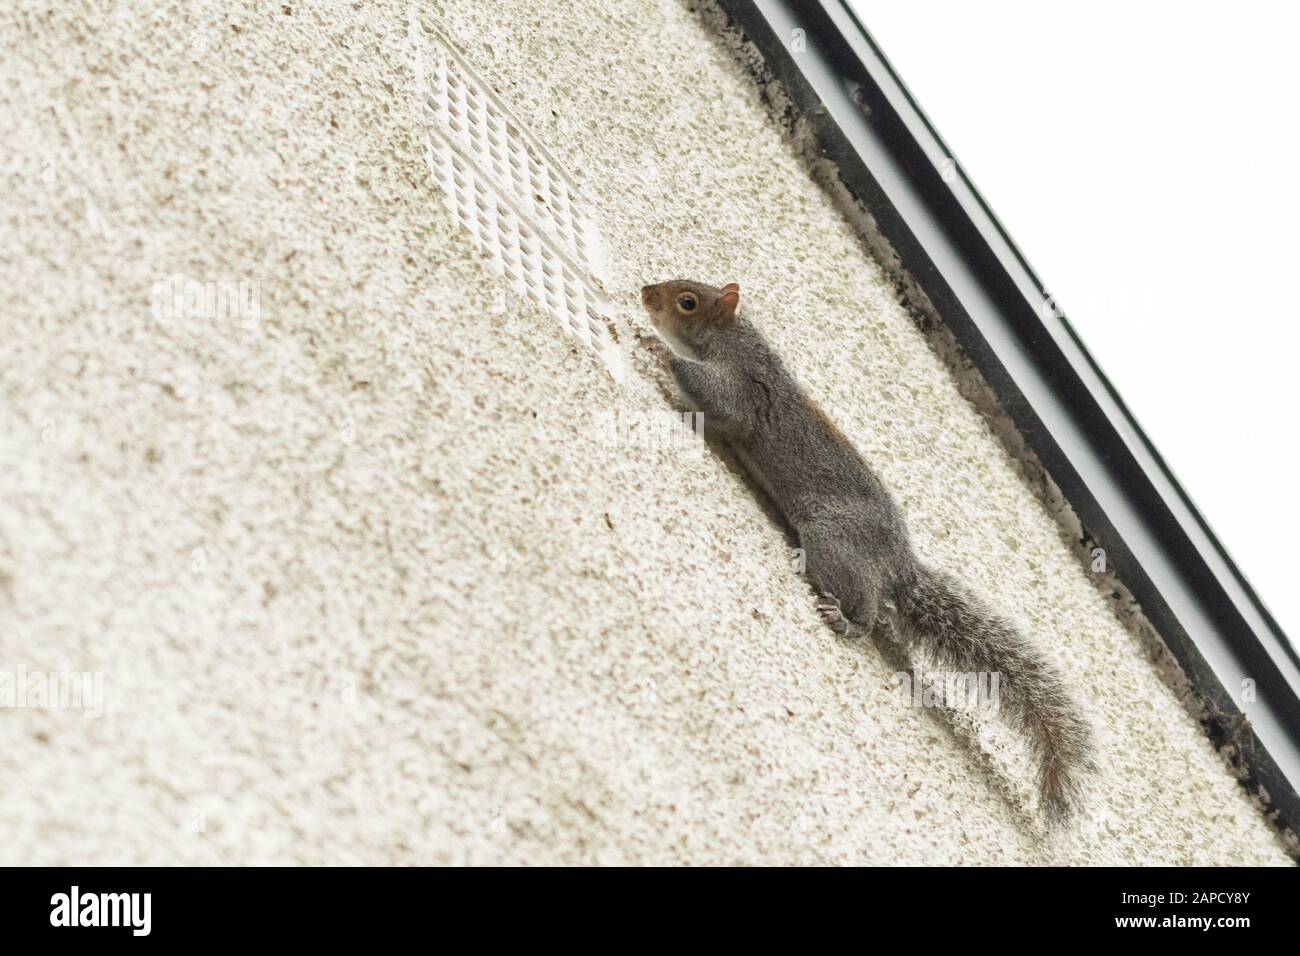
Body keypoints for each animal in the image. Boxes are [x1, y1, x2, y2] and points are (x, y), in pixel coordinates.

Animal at [639, 278, 1096, 828]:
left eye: (687, 301)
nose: (644, 294)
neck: (739, 343)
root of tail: (898, 567)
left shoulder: (741, 390)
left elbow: (716, 401)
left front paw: (652, 347)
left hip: (831, 541)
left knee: (870, 609)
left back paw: (846, 618)